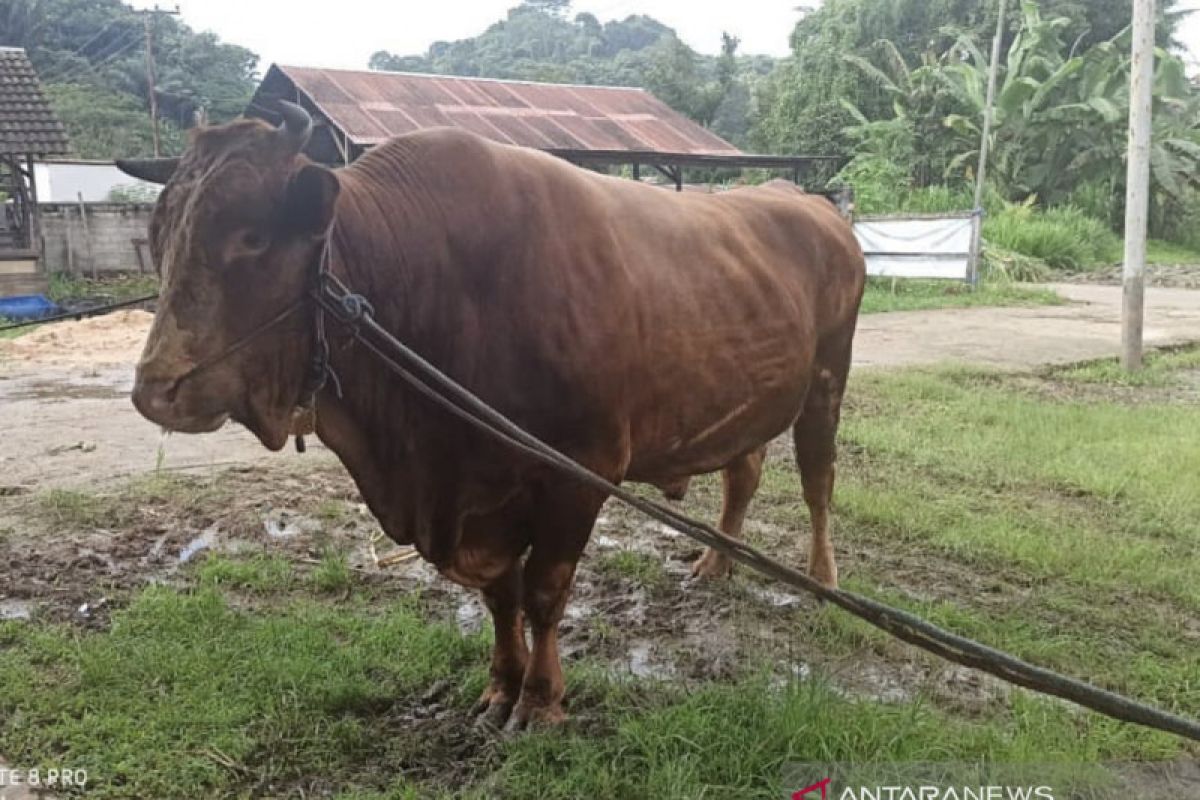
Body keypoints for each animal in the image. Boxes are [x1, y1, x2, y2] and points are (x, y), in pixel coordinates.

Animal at [119, 106, 864, 734]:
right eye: (158, 236)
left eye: (252, 237)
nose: (157, 389)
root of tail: (806, 202)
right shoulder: (477, 501)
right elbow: (501, 598)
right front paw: (501, 688)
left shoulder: (579, 473)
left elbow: (544, 593)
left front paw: (541, 701)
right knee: (745, 470)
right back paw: (716, 560)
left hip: (827, 383)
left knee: (818, 481)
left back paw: (823, 580)